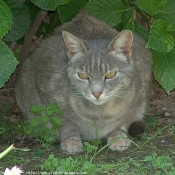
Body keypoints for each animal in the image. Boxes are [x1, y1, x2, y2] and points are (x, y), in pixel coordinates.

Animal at [14, 10, 152, 153]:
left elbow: (123, 119)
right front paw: (71, 140)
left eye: (110, 74)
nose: (97, 93)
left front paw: (117, 136)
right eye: (83, 75)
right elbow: (66, 122)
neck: (99, 112)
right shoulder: (48, 95)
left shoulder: (139, 95)